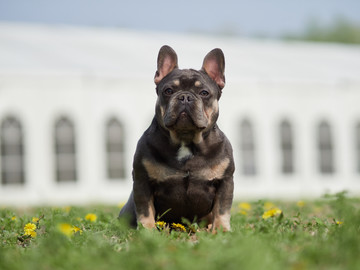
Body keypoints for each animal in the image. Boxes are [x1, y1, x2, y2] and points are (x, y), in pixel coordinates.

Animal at [119, 45, 235, 231]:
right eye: (168, 91)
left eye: (204, 92)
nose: (185, 96)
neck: (185, 139)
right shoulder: (142, 181)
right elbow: (144, 209)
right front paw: (148, 231)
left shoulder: (225, 181)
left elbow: (222, 209)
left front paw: (221, 230)